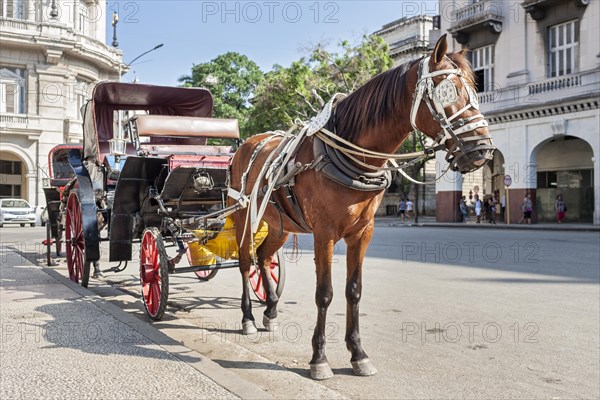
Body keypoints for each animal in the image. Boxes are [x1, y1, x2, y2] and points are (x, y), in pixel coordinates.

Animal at [227, 33, 494, 378]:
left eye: (475, 89)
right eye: (449, 90)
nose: (483, 149)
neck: (350, 154)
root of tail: (247, 144)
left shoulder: (363, 232)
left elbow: (353, 290)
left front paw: (358, 353)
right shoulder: (324, 234)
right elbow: (324, 293)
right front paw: (319, 358)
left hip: (278, 223)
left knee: (263, 257)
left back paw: (270, 309)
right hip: (243, 216)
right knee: (246, 261)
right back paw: (247, 317)